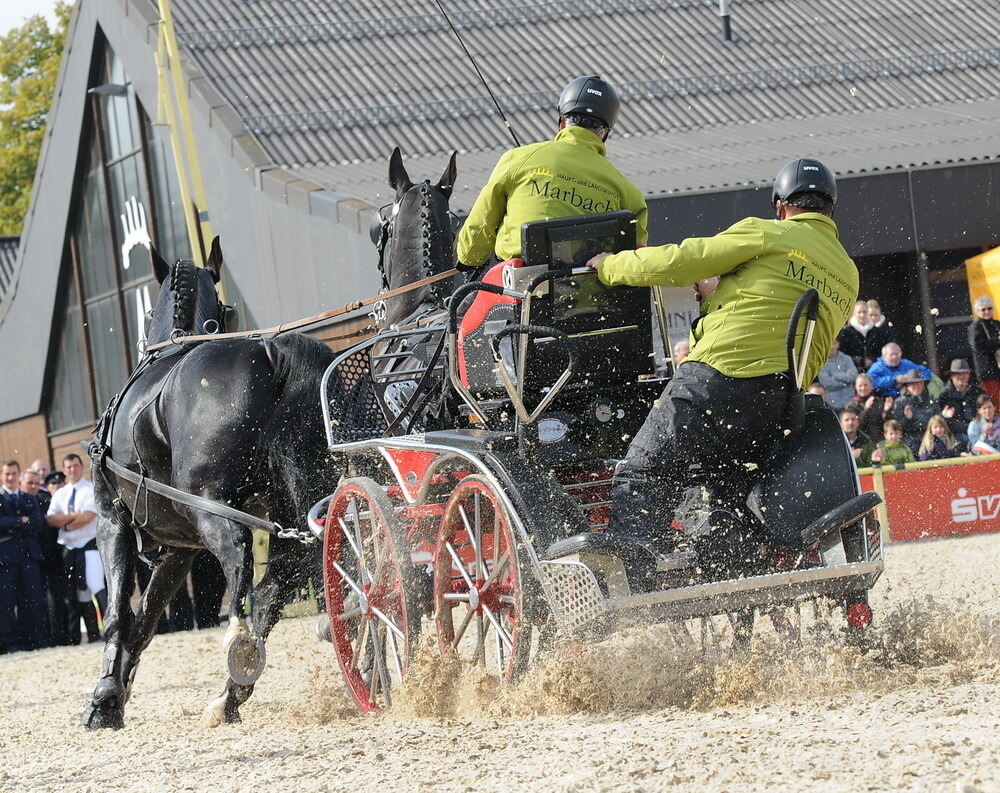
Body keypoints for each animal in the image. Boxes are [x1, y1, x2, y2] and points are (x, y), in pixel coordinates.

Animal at [84, 238, 334, 728]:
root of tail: (274, 353)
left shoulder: (111, 522)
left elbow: (119, 613)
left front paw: (105, 698)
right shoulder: (179, 548)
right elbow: (144, 623)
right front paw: (118, 691)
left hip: (211, 506)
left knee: (240, 558)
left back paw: (237, 645)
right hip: (294, 506)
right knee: (278, 582)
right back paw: (230, 694)